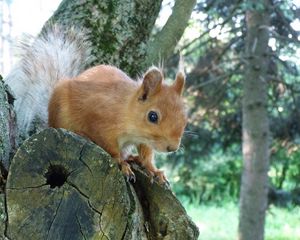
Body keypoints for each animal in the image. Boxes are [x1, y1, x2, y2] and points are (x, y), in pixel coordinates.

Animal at [48, 64, 186, 183]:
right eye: (153, 116)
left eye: (185, 118)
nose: (172, 148)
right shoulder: (99, 124)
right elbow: (110, 148)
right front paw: (122, 164)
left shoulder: (145, 141)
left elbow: (146, 156)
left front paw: (154, 170)